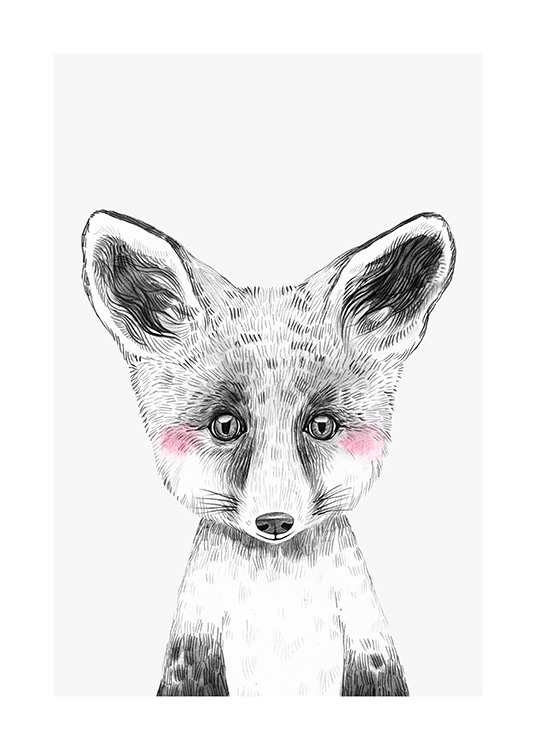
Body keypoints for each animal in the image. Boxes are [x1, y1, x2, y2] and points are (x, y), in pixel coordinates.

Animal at [82, 209, 455, 697]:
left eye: (321, 426)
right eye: (225, 426)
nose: (275, 522)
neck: (279, 611)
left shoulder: (372, 653)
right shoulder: (191, 656)